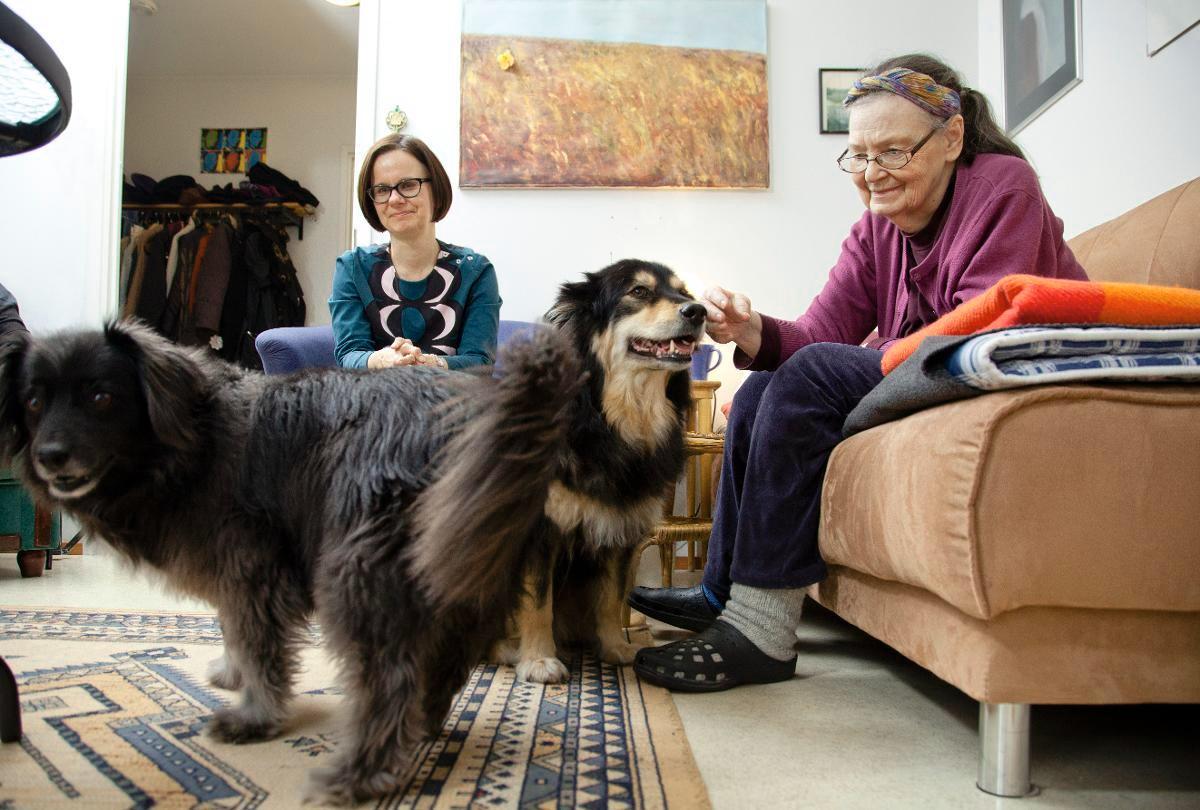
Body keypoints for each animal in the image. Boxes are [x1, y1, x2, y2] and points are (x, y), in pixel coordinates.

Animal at [0, 260, 700, 806]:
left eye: (101, 397)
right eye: (32, 401)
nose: (50, 456)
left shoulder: (252, 563)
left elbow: (257, 643)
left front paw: (252, 712)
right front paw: (230, 674)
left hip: (358, 567)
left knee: (397, 674)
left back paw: (362, 771)